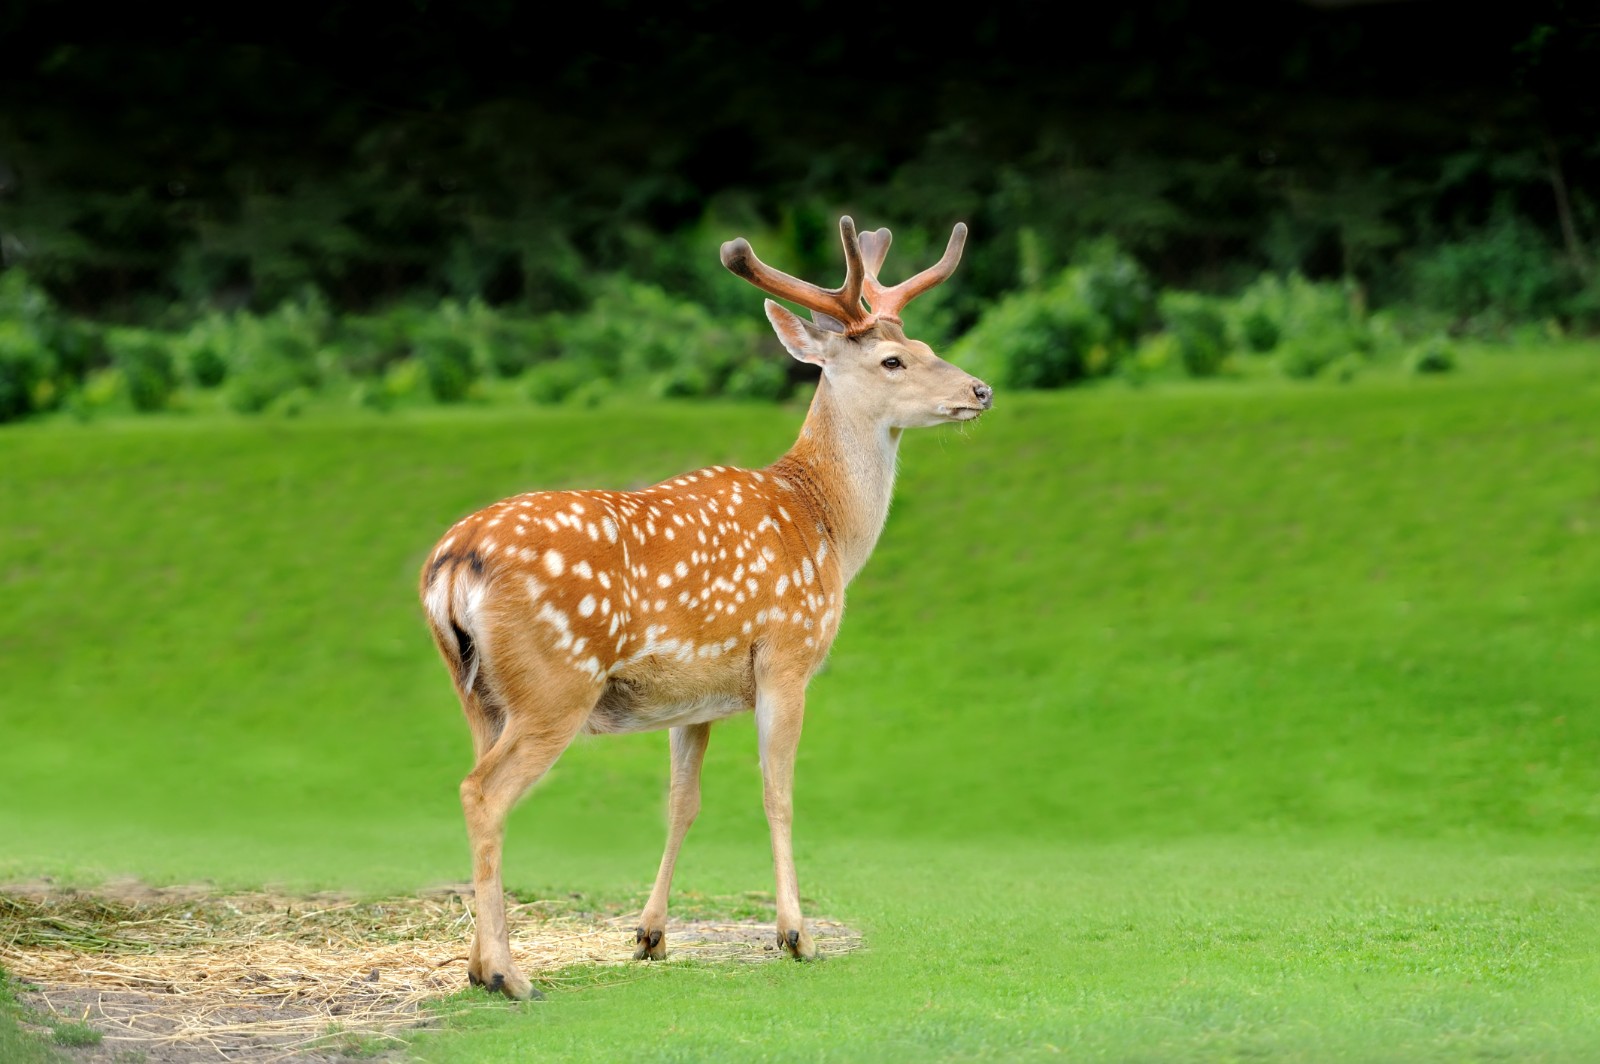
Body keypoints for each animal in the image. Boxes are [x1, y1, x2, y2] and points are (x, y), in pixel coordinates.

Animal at [419, 214, 992, 998]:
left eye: (929, 346)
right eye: (893, 361)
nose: (980, 389)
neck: (825, 525)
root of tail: (453, 564)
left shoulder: (694, 696)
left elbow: (681, 803)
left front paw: (651, 936)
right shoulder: (786, 654)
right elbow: (778, 792)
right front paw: (795, 935)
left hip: (478, 691)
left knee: (477, 784)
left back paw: (479, 968)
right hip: (554, 682)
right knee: (483, 793)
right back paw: (510, 974)